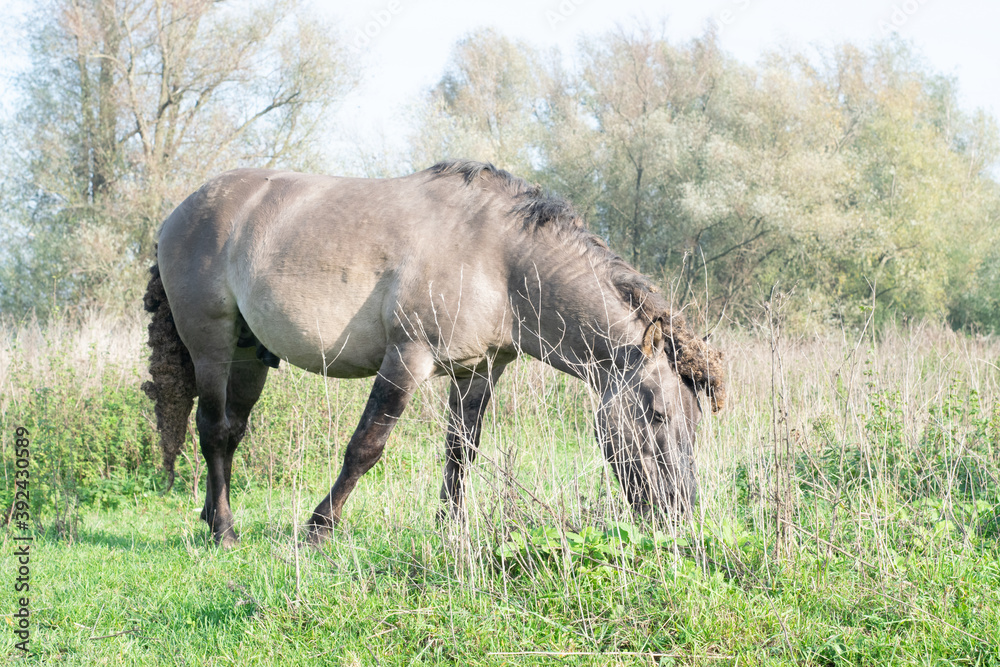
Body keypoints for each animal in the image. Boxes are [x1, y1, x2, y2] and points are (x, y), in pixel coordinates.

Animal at [141, 160, 725, 547]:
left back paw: (209, 515)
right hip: (211, 346)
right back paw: (224, 530)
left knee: (232, 431)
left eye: (697, 422)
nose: (679, 515)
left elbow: (460, 452)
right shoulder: (407, 359)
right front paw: (318, 528)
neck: (501, 259)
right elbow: (365, 448)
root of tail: (180, 212)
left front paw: (448, 530)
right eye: (657, 414)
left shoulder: (480, 371)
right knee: (214, 430)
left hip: (249, 355)